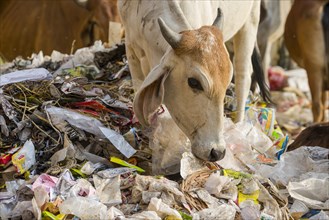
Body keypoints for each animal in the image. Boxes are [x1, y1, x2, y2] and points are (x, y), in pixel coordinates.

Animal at [119, 0, 268, 162]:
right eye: (194, 82)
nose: (217, 152)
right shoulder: (130, 47)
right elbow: (138, 85)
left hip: (250, 21)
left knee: (243, 77)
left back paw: (239, 124)